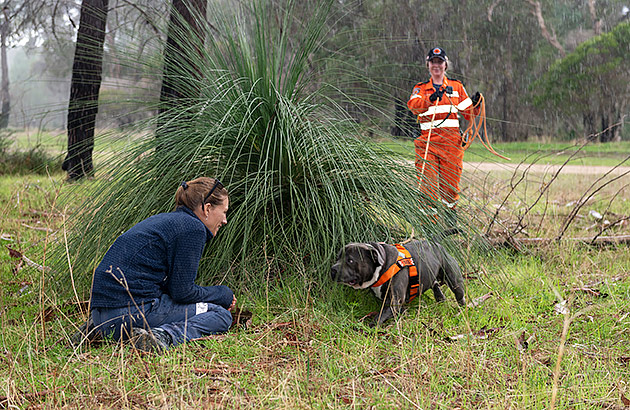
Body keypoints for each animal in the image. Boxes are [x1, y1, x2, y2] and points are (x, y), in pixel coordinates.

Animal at [334, 239, 466, 326]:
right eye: (337, 257)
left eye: (350, 260)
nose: (332, 269)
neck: (382, 263)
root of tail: (437, 244)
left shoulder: (394, 300)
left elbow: (380, 316)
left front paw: (369, 326)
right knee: (436, 287)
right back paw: (440, 300)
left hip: (454, 280)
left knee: (459, 294)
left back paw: (462, 310)